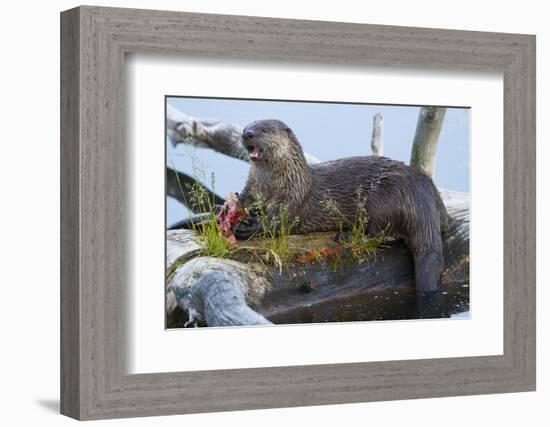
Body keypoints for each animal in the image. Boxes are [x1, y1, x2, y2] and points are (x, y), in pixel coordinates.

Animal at [235, 118, 450, 296]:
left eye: (264, 129)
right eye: (245, 127)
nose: (247, 134)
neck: (274, 184)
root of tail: (423, 202)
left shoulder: (291, 198)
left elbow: (277, 222)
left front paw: (247, 227)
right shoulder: (252, 190)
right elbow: (244, 201)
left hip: (384, 198)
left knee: (378, 233)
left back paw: (346, 235)